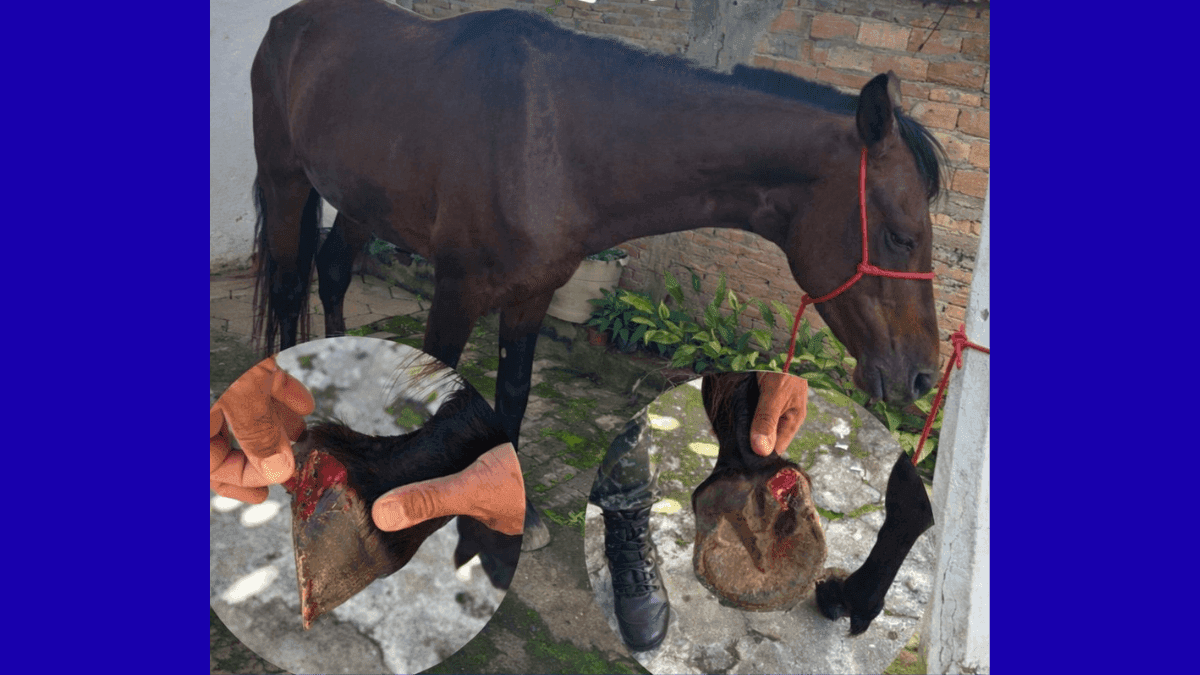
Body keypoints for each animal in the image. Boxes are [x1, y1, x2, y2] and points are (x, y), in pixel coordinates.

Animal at [249, 0, 946, 545]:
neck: (554, 140)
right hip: (286, 182)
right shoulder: (455, 292)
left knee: (332, 272)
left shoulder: (532, 295)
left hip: (360, 203)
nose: (919, 376)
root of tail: (286, 22)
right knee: (287, 286)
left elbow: (514, 392)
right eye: (900, 235)